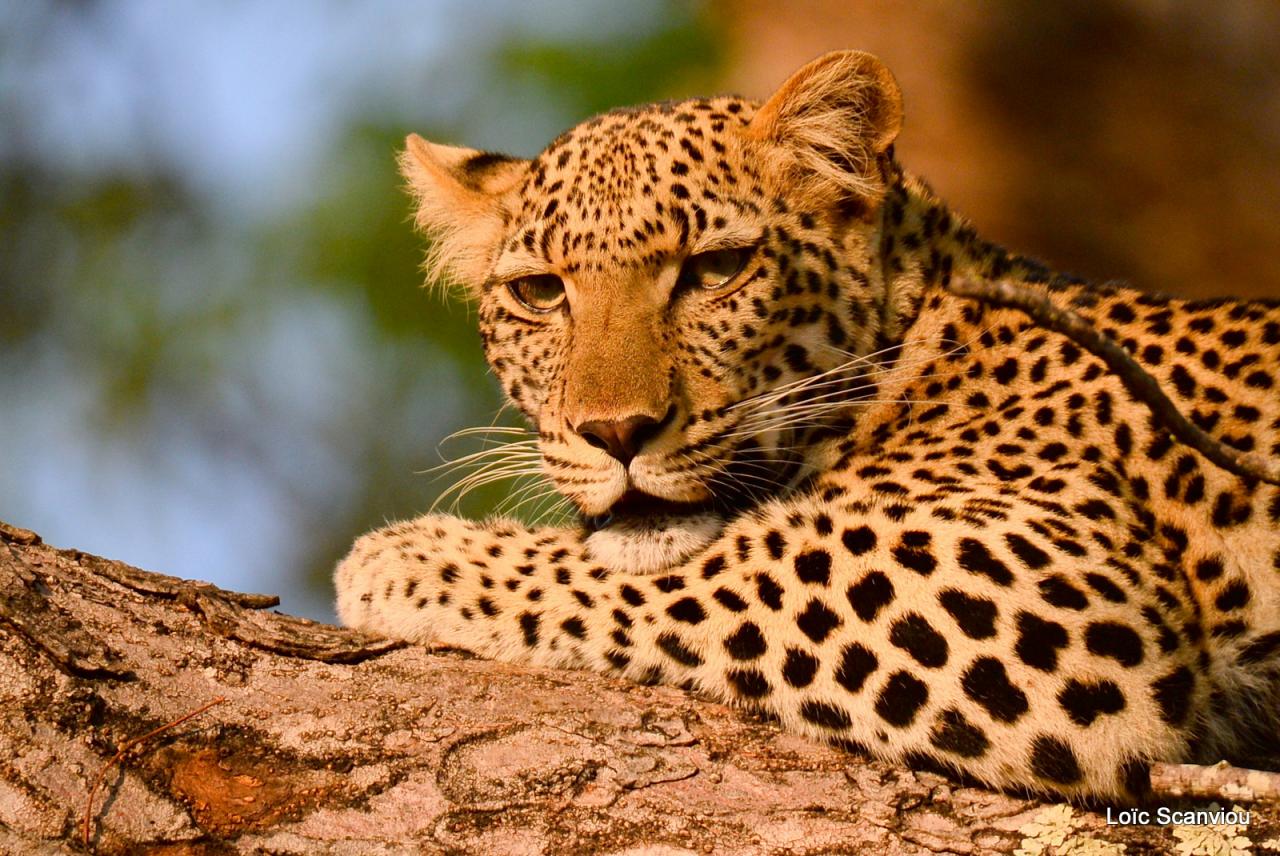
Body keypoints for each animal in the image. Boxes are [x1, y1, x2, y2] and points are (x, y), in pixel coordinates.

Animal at [337, 51, 1280, 803]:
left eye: (715, 269)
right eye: (539, 292)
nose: (616, 433)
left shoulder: (1045, 573)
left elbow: (737, 558)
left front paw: (408, 556)